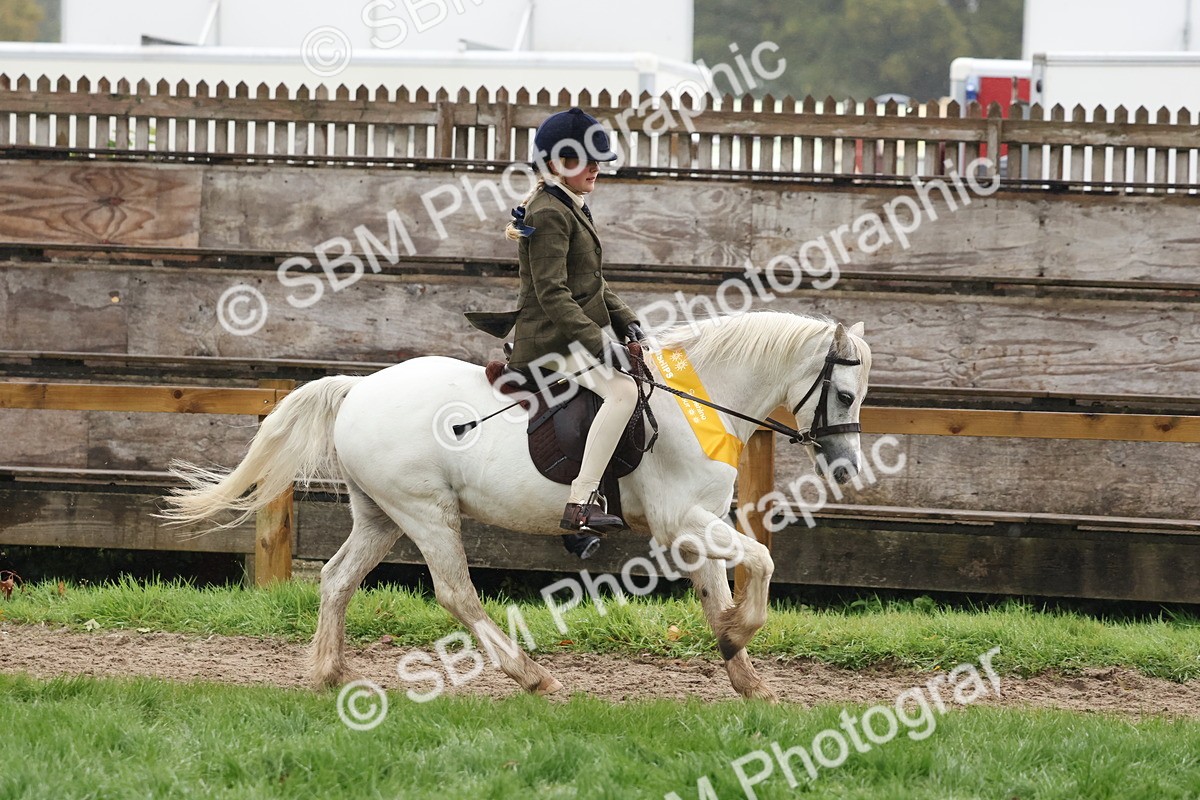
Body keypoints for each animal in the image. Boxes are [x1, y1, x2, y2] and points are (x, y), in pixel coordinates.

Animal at [160, 311, 872, 701]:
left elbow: (719, 588)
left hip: (382, 515)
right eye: (843, 393)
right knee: (456, 594)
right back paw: (530, 676)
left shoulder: (698, 523)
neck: (697, 404)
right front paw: (738, 636)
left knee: (337, 579)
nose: (845, 468)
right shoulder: (680, 521)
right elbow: (761, 565)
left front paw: (743, 671)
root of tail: (359, 388)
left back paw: (330, 672)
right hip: (426, 513)